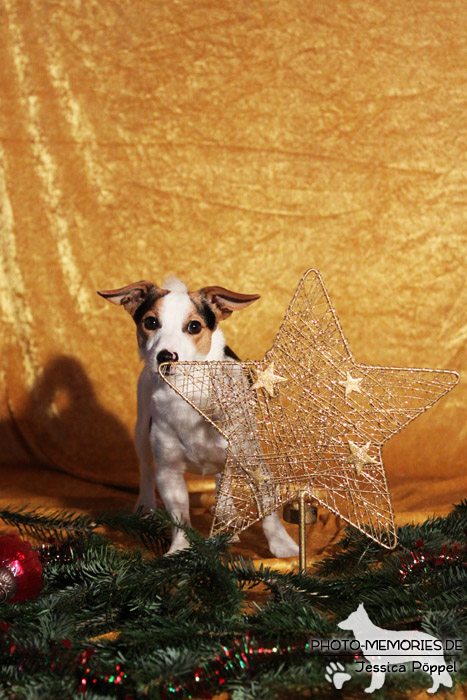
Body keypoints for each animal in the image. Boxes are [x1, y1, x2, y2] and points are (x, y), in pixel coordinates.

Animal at [98, 276, 300, 556]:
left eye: (194, 326)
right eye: (150, 322)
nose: (166, 356)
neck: (189, 393)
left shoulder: (256, 465)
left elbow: (269, 513)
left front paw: (284, 547)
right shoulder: (169, 473)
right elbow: (180, 517)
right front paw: (179, 549)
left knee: (223, 479)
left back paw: (226, 513)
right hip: (141, 433)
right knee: (146, 471)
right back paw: (146, 508)